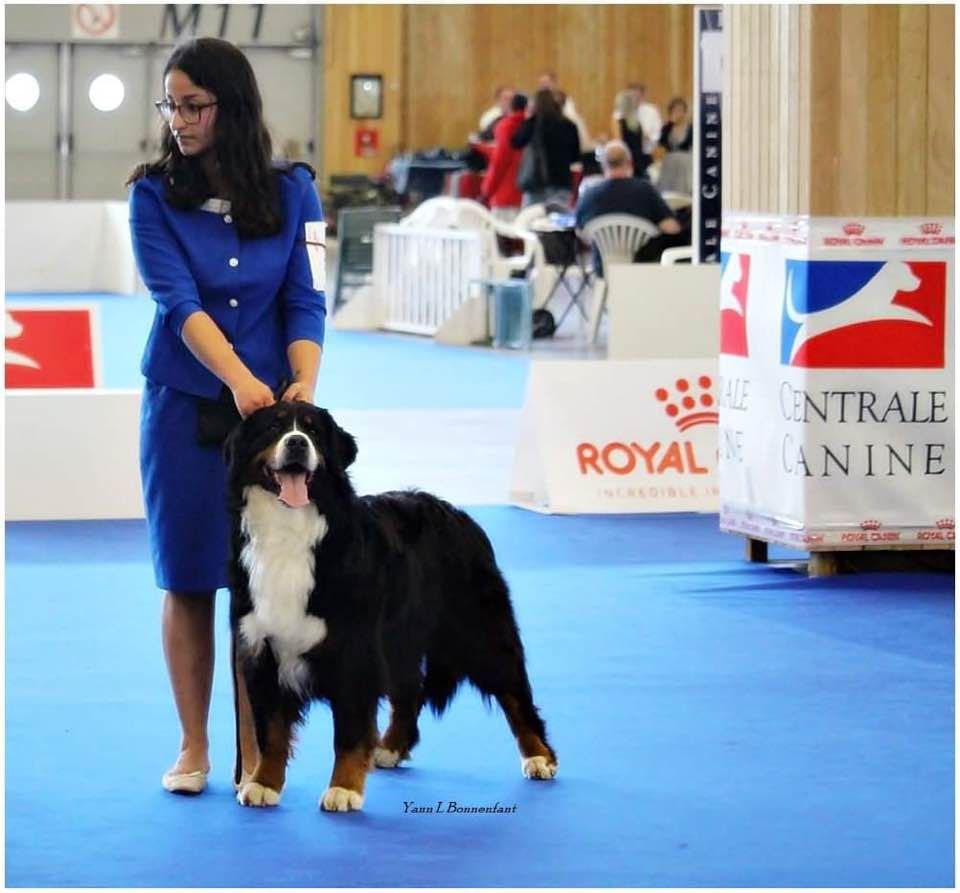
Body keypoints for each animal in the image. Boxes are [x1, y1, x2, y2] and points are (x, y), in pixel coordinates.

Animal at [223, 400, 556, 812]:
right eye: (273, 428)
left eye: (314, 432)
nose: (297, 443)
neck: (290, 531)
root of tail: (457, 513)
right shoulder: (261, 646)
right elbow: (270, 730)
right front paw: (263, 783)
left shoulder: (354, 650)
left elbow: (348, 732)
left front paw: (344, 789)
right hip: (401, 639)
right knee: (409, 690)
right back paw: (391, 748)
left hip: (481, 632)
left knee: (515, 695)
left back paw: (540, 757)